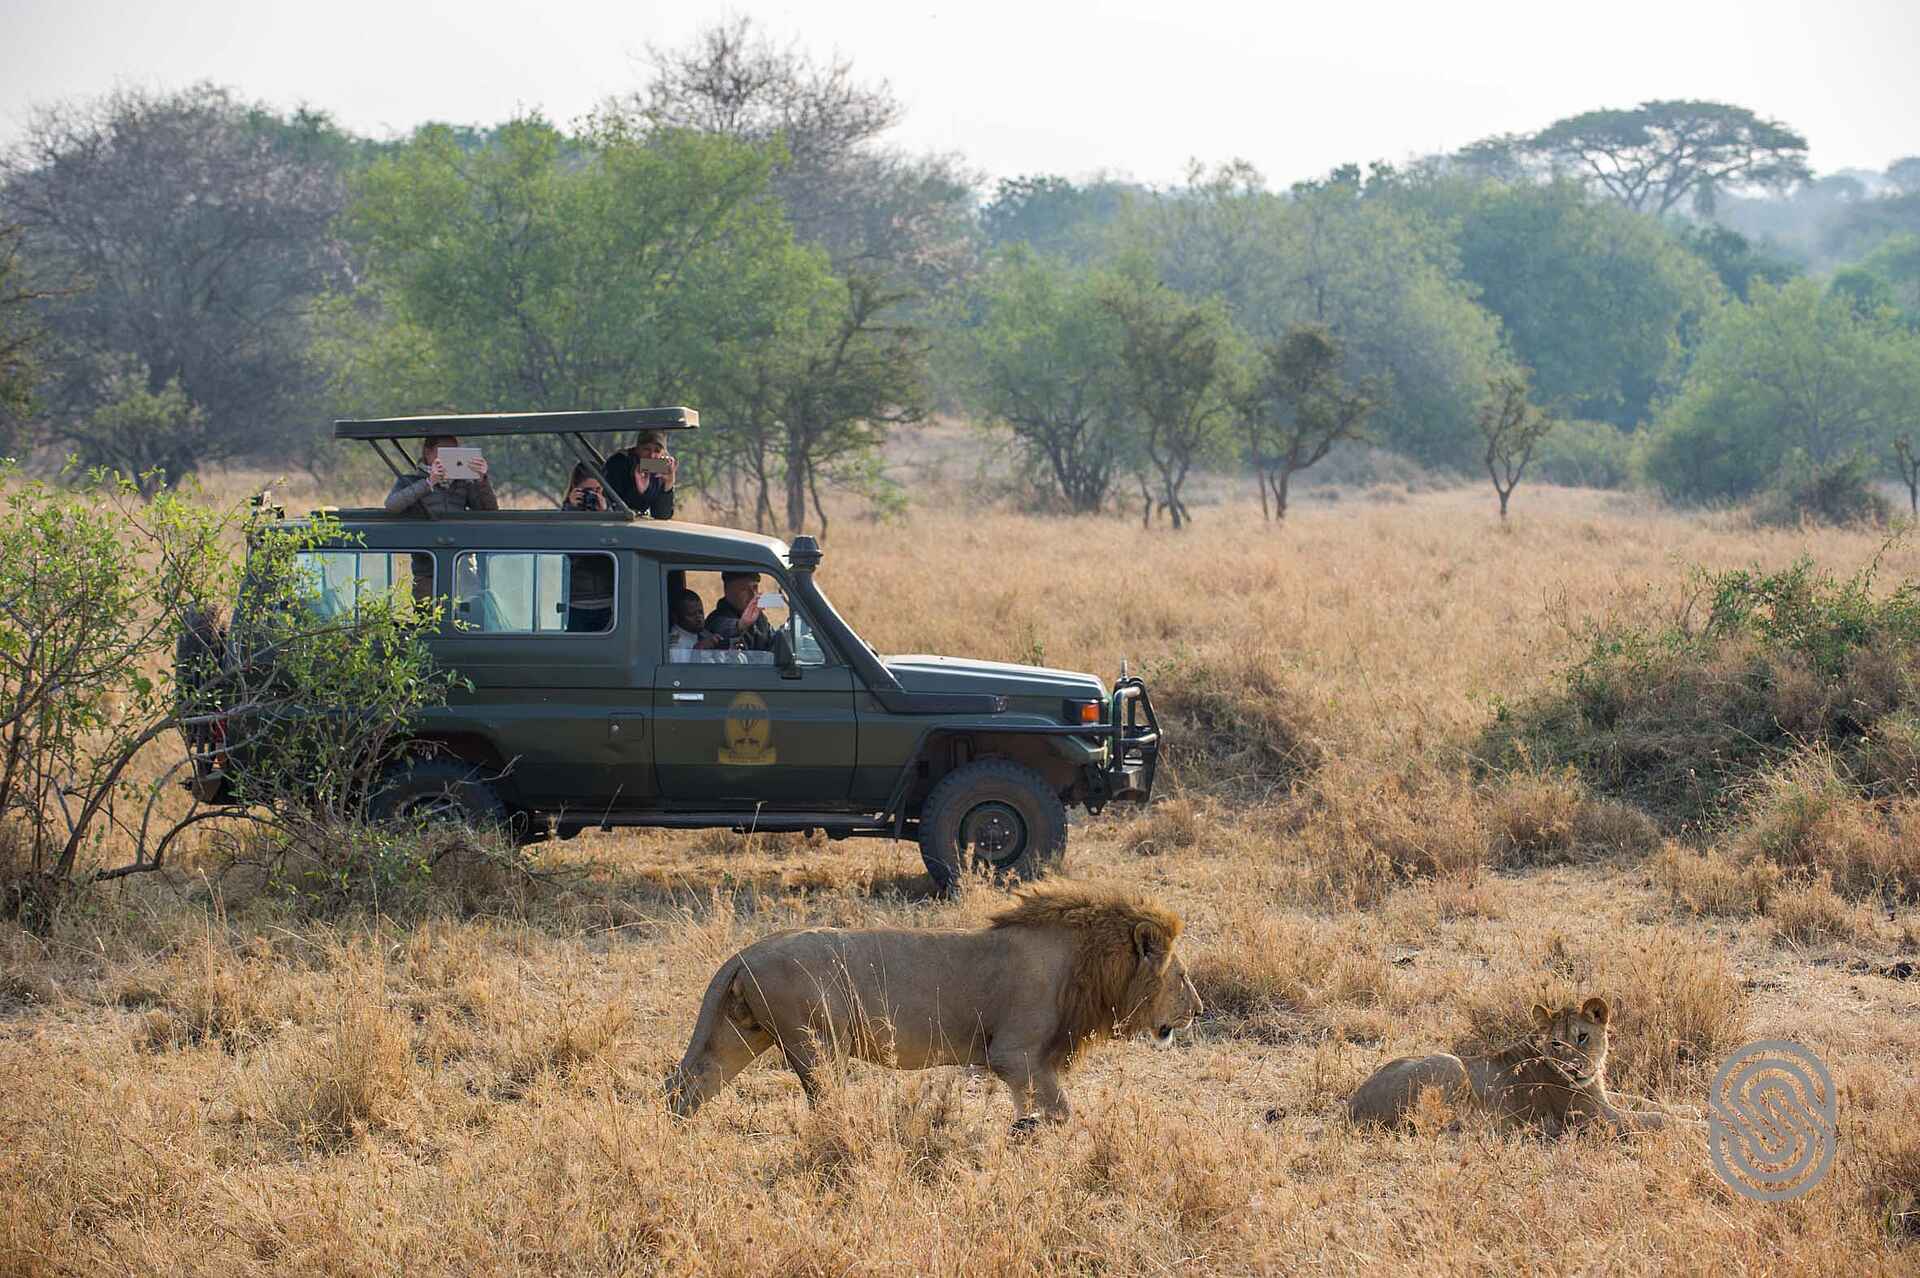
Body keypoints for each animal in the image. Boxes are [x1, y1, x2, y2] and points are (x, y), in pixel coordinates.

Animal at [665, 882, 1202, 1129]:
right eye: (1182, 976)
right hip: (813, 1041)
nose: (1198, 1010)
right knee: (824, 1097)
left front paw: (1024, 1132)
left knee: (688, 1083)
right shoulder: (1014, 1054)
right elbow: (1062, 1111)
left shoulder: (1024, 1063)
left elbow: (1039, 1110)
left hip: (737, 1033)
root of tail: (744, 952)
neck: (1086, 964)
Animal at [1345, 996, 1677, 1136]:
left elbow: (1647, 1102)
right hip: (1450, 1063)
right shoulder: (1595, 1117)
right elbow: (1655, 1118)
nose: (1573, 1069)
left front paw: (1687, 1108)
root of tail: (1352, 1106)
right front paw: (1689, 1125)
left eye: (1582, 1036)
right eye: (1556, 1044)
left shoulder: (1602, 1098)